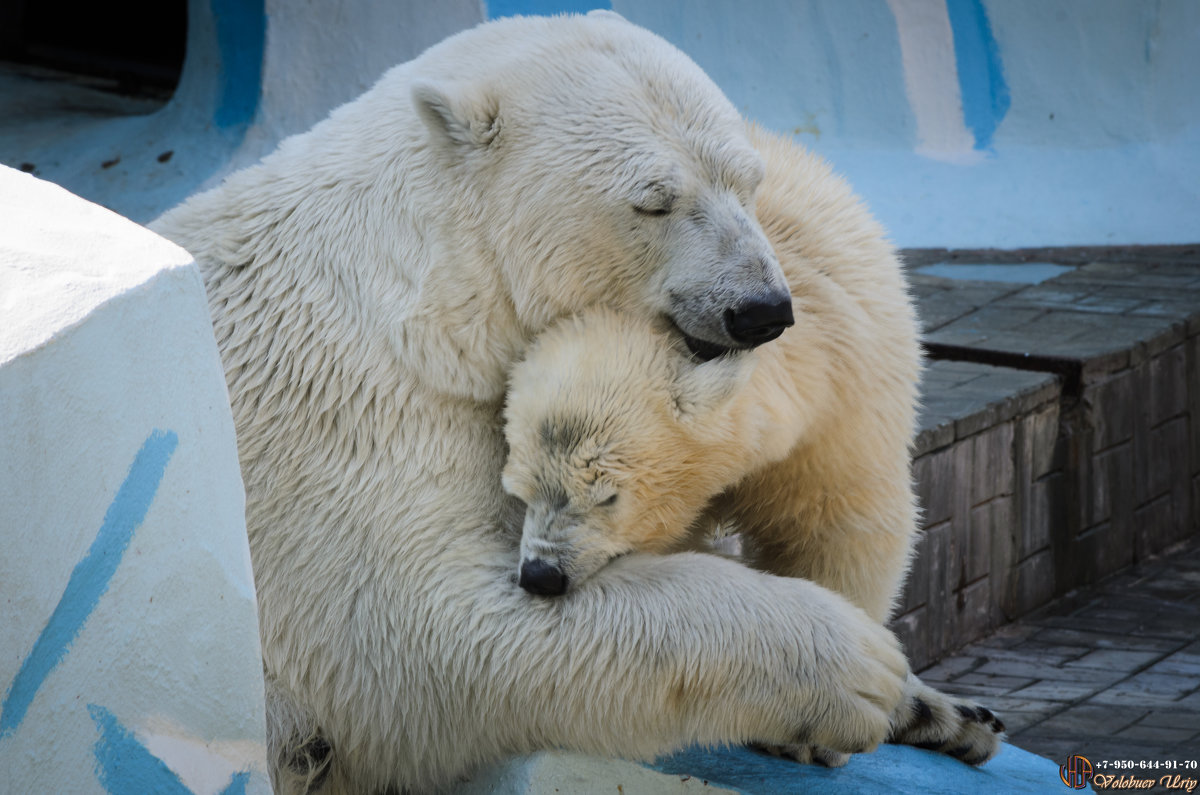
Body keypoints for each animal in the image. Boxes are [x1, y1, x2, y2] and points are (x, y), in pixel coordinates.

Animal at [157, 9, 993, 792]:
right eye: (655, 201)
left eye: (748, 179)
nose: (762, 308)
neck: (427, 297)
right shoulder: (350, 417)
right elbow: (430, 634)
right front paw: (859, 669)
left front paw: (936, 707)